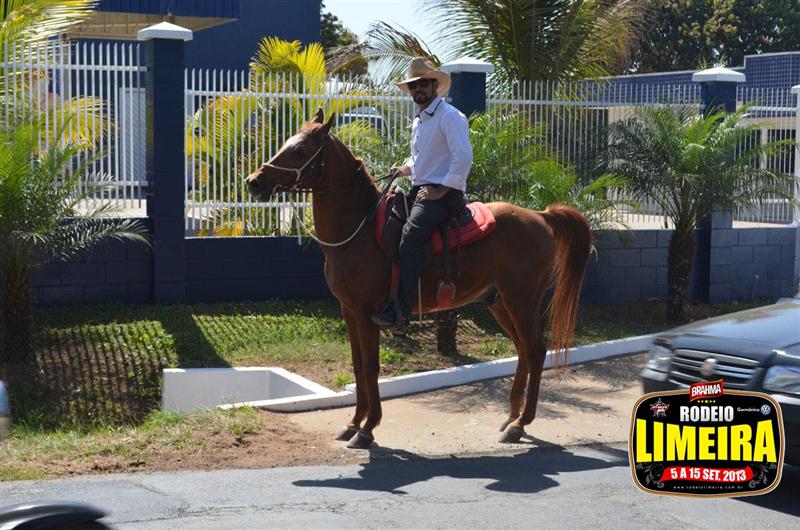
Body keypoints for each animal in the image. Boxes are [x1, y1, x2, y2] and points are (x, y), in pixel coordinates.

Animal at [246, 109, 592, 449]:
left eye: (301, 150)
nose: (254, 182)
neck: (358, 227)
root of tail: (541, 216)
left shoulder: (367, 312)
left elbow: (370, 366)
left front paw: (368, 428)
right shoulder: (349, 310)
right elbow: (357, 364)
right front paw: (353, 423)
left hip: (522, 300)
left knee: (535, 351)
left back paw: (521, 424)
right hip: (499, 302)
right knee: (522, 350)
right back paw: (511, 418)